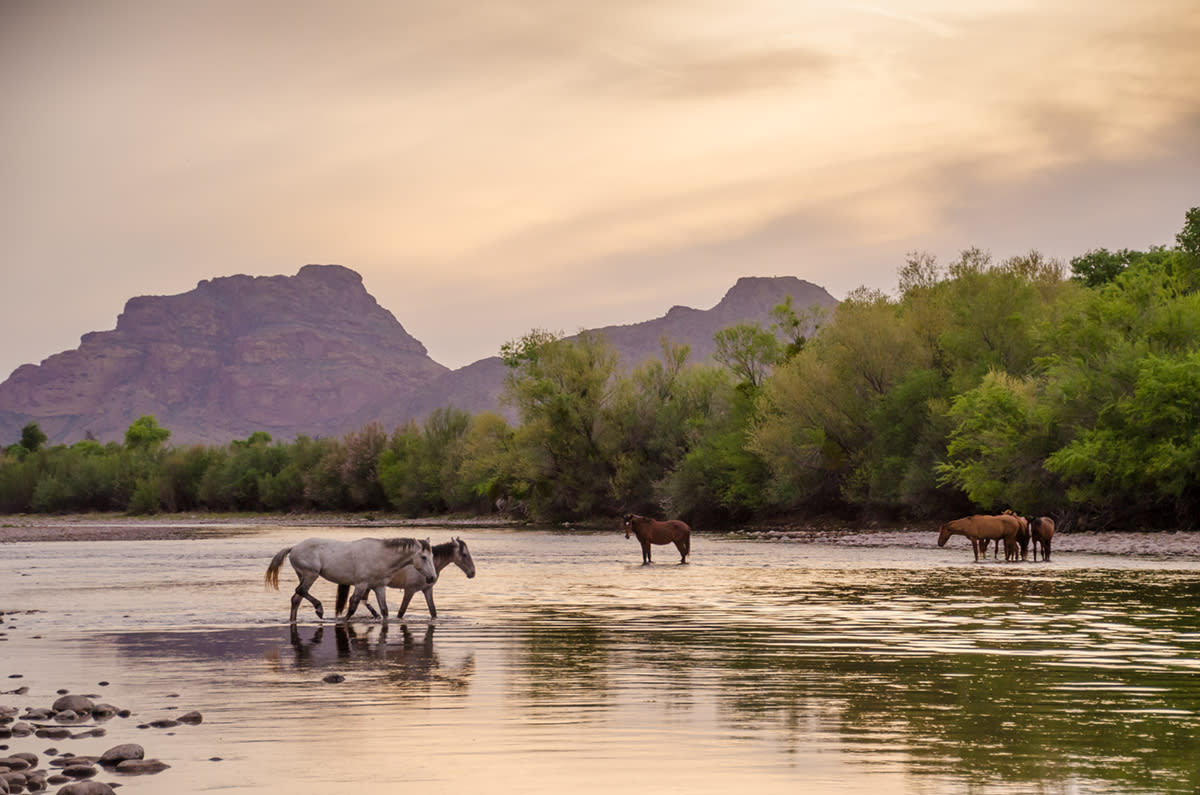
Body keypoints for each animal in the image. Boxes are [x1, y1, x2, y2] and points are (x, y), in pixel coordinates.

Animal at [262, 538, 436, 624]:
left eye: (432, 556)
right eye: (423, 557)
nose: (432, 578)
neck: (381, 556)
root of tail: (293, 548)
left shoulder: (379, 587)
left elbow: (384, 610)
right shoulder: (361, 585)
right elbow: (352, 606)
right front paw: (343, 620)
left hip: (304, 576)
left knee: (296, 599)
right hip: (311, 574)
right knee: (300, 591)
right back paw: (319, 609)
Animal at [338, 535, 477, 624]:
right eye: (464, 554)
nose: (472, 573)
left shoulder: (427, 590)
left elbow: (433, 611)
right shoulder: (409, 591)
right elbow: (401, 612)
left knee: (363, 600)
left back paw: (376, 615)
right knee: (361, 600)